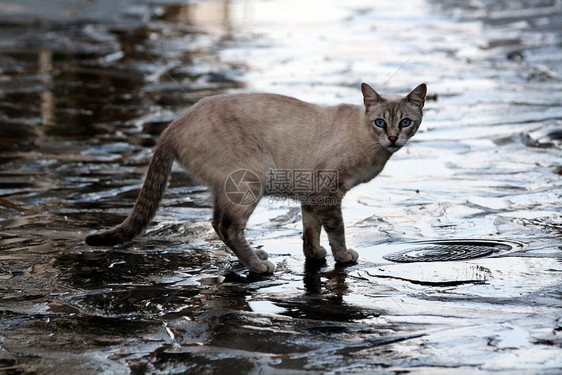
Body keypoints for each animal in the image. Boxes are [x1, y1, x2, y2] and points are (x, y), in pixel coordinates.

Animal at [84, 83, 424, 274]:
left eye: (406, 122)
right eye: (380, 123)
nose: (393, 138)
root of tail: (174, 124)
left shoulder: (311, 196)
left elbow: (310, 232)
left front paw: (315, 256)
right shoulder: (328, 194)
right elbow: (336, 231)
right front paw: (343, 257)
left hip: (228, 187)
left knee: (217, 224)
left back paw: (256, 256)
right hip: (250, 180)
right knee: (228, 227)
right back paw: (260, 267)